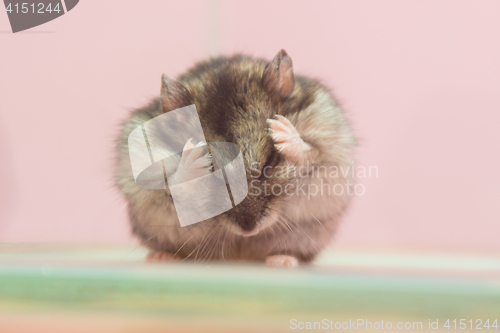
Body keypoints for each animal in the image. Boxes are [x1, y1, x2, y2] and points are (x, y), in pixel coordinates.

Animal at [114, 50, 354, 268]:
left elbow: (311, 153)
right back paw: (161, 257)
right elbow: (172, 182)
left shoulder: (328, 150)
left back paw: (282, 260)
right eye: (213, 174)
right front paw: (195, 156)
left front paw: (281, 130)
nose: (248, 231)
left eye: (271, 161)